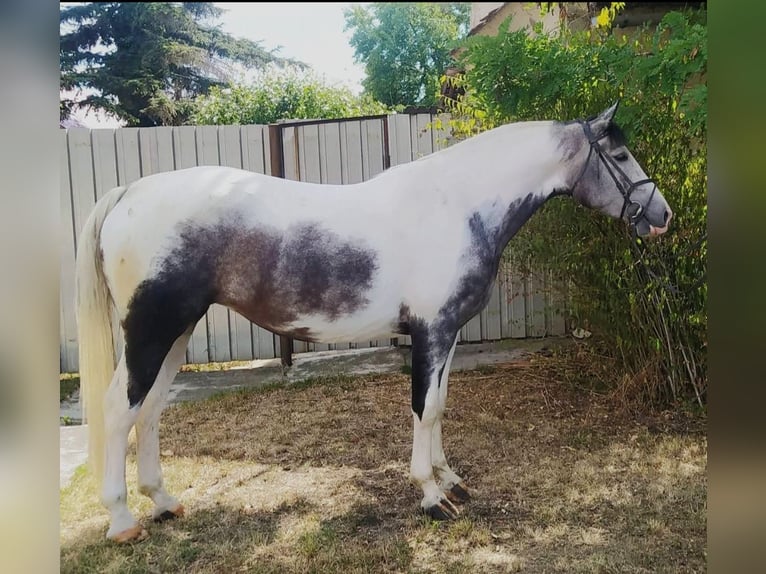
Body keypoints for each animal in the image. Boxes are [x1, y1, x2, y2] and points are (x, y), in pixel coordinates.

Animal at [75, 102, 672, 542]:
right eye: (620, 154)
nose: (662, 215)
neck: (459, 207)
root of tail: (131, 192)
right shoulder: (431, 333)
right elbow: (423, 408)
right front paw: (431, 496)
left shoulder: (446, 334)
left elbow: (439, 406)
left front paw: (451, 481)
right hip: (151, 330)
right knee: (120, 409)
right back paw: (122, 520)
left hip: (176, 331)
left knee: (151, 408)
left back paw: (164, 502)